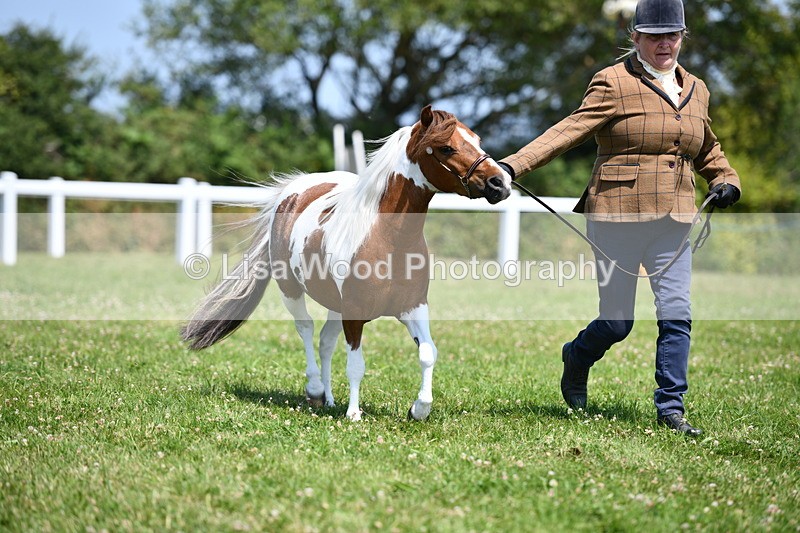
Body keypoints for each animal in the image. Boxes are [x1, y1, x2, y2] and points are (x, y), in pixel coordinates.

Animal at [181, 105, 512, 421]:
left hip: (334, 304)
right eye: (445, 147)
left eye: (477, 140)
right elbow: (356, 364)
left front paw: (419, 409)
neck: (389, 239)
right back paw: (316, 390)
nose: (500, 182)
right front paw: (354, 414)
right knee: (306, 329)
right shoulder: (354, 313)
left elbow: (428, 353)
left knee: (325, 342)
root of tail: (290, 193)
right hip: (291, 290)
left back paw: (328, 399)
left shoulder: (413, 307)